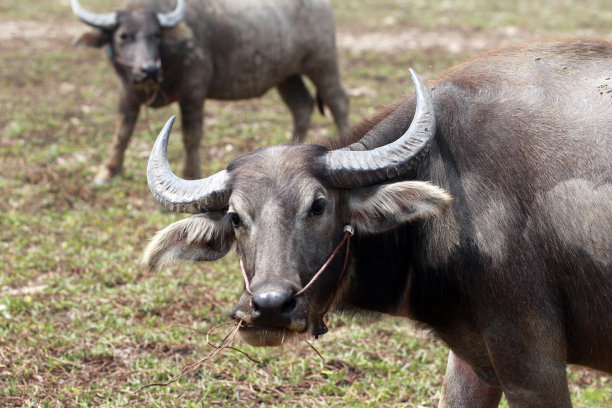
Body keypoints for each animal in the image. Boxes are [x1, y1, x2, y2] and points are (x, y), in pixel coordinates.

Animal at [71, 0, 346, 183]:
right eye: (123, 35)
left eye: (156, 34)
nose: (148, 70)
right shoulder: (127, 93)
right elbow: (122, 132)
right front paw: (108, 171)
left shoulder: (193, 91)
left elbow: (191, 135)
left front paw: (191, 174)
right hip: (287, 76)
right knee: (301, 105)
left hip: (322, 63)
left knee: (338, 100)